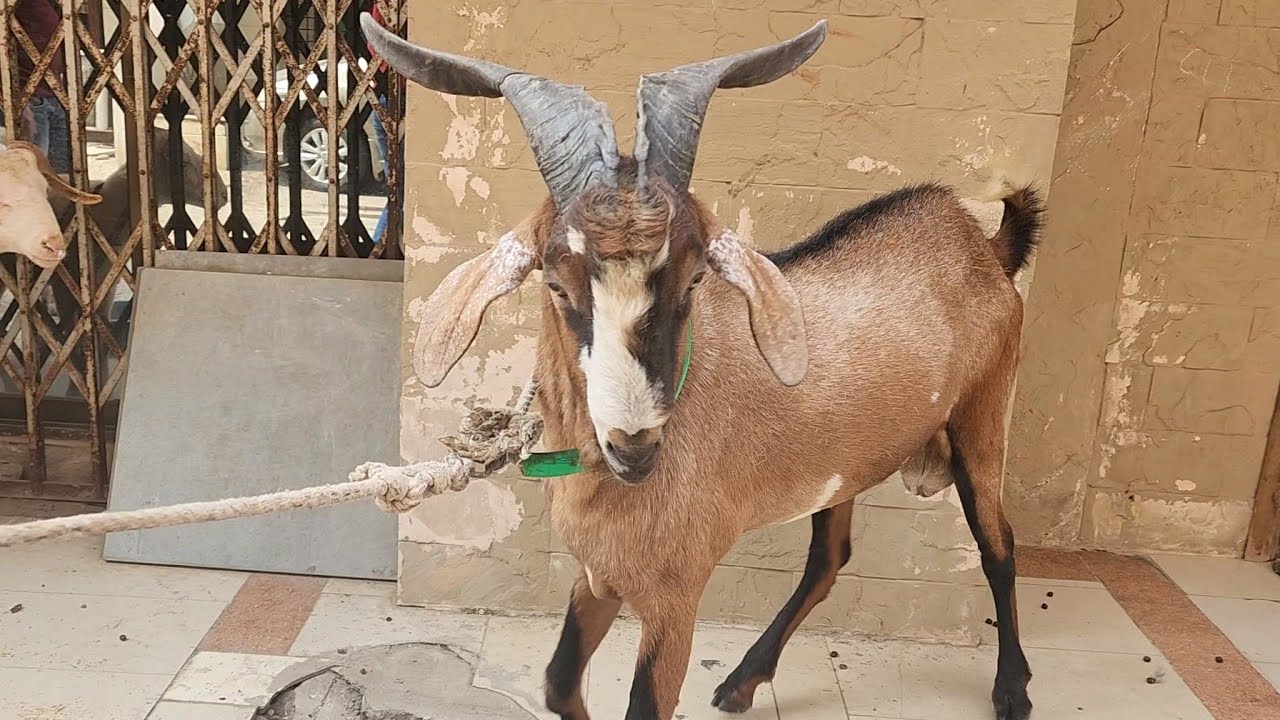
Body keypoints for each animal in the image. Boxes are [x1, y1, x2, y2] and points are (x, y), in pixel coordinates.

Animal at [366, 15, 1043, 720]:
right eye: (555, 283)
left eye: (694, 278)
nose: (634, 446)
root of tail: (984, 246)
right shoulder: (599, 577)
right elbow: (558, 682)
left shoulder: (674, 598)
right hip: (850, 464)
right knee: (829, 559)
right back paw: (743, 681)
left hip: (982, 418)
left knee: (999, 546)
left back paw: (1012, 689)